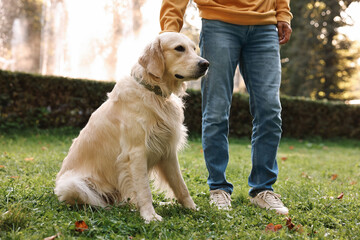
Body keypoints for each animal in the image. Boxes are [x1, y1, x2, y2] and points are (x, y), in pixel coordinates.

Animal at [54, 32, 210, 223]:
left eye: (194, 48)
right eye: (179, 48)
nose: (206, 64)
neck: (154, 91)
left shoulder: (168, 151)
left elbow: (181, 185)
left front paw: (193, 208)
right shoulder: (136, 152)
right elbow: (144, 190)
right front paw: (150, 216)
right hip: (72, 185)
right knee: (99, 202)